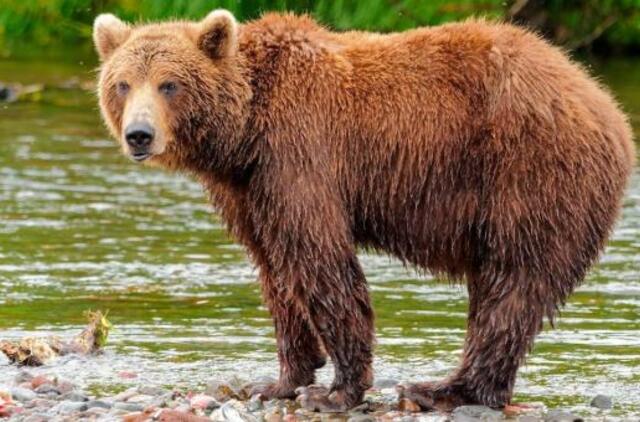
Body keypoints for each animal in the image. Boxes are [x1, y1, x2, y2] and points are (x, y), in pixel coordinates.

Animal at [94, 9, 636, 412]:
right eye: (123, 83)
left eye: (169, 84)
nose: (139, 135)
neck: (243, 133)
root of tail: (606, 105)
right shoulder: (249, 191)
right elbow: (275, 272)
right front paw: (279, 380)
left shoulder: (299, 154)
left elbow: (320, 261)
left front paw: (337, 390)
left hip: (530, 174)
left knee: (513, 284)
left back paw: (444, 388)